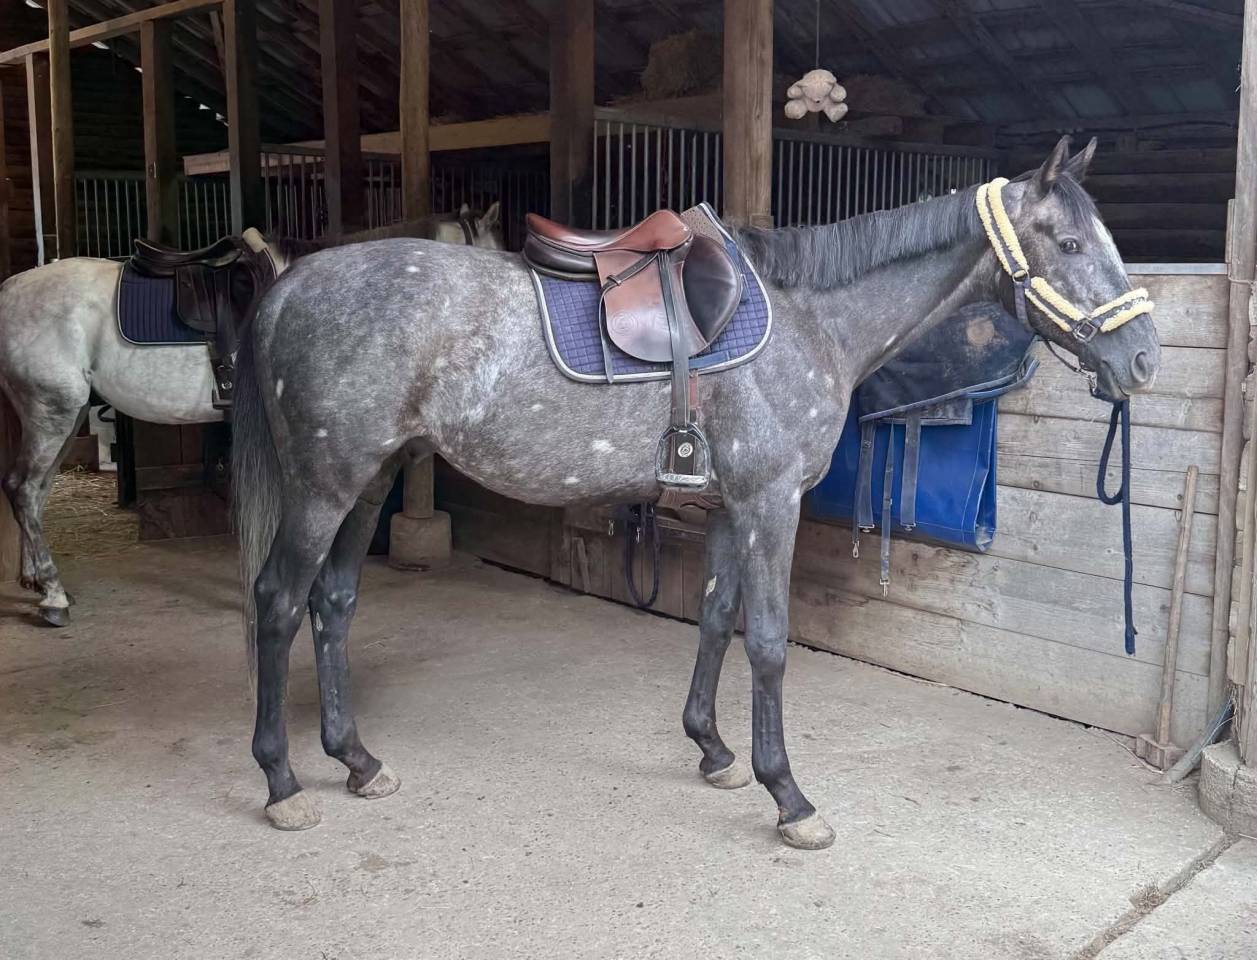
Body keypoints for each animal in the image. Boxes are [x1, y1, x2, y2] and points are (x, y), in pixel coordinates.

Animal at [0, 204, 504, 627]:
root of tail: (9, 290)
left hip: (65, 415)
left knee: (36, 492)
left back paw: (36, 582)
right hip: (53, 409)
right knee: (23, 488)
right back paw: (53, 598)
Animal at [231, 138, 1160, 848]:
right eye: (1069, 246)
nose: (1143, 360)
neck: (809, 318)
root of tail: (285, 287)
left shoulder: (726, 506)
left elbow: (715, 618)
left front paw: (713, 752)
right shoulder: (770, 502)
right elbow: (770, 642)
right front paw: (789, 797)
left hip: (370, 480)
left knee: (335, 602)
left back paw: (357, 761)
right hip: (323, 486)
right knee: (278, 600)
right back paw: (282, 783)